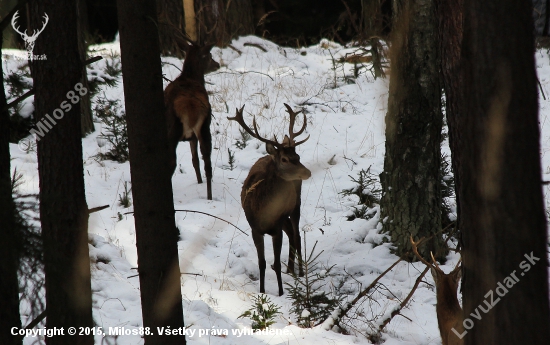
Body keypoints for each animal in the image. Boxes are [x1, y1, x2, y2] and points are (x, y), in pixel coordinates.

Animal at [165, 37, 221, 199]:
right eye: (209, 55)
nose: (217, 64)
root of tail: (190, 108)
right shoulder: (193, 136)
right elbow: (195, 160)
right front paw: (199, 182)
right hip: (205, 127)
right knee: (207, 162)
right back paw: (209, 197)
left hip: (173, 129)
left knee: (172, 162)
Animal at [231, 103, 312, 294]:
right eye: (284, 159)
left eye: (298, 156)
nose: (307, 172)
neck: (263, 211)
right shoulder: (255, 229)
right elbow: (262, 263)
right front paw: (262, 291)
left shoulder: (276, 228)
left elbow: (275, 262)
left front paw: (281, 293)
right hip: (284, 217)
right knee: (291, 233)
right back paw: (290, 270)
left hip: (295, 204)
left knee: (297, 235)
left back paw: (300, 272)